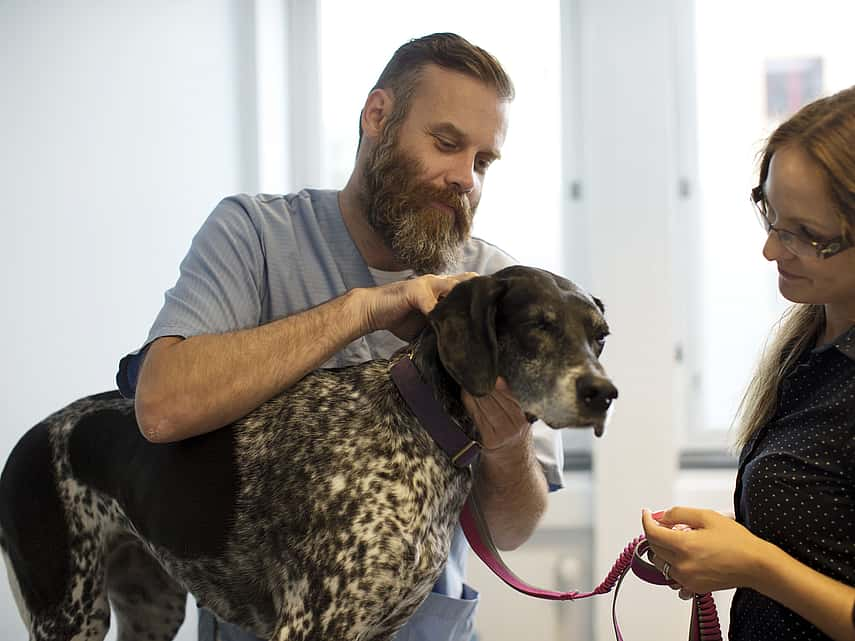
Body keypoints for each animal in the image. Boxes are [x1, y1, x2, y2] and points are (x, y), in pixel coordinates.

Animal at [0, 264, 616, 640]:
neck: (423, 428)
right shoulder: (313, 623)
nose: (603, 393)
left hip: (151, 605)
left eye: (600, 336)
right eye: (538, 325)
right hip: (70, 612)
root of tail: (31, 437)